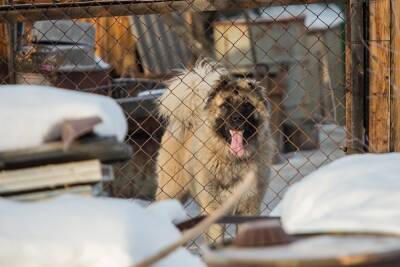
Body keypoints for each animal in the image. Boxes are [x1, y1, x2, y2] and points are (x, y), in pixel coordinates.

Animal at [155, 61, 274, 243]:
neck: (233, 161)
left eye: (247, 105)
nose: (237, 120)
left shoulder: (248, 208)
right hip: (171, 189)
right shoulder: (213, 211)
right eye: (226, 105)